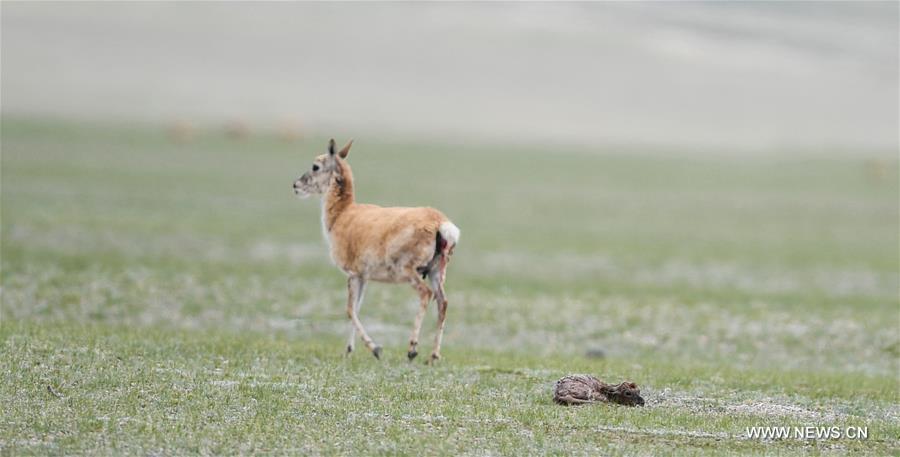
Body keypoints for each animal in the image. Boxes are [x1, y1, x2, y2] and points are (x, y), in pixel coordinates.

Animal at [296, 139, 460, 364]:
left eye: (315, 166)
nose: (295, 185)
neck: (343, 215)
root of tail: (441, 224)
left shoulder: (353, 274)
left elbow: (349, 309)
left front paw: (375, 349)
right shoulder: (364, 277)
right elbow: (357, 308)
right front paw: (348, 350)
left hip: (408, 271)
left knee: (426, 294)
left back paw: (412, 349)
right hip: (437, 271)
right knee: (443, 302)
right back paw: (433, 356)